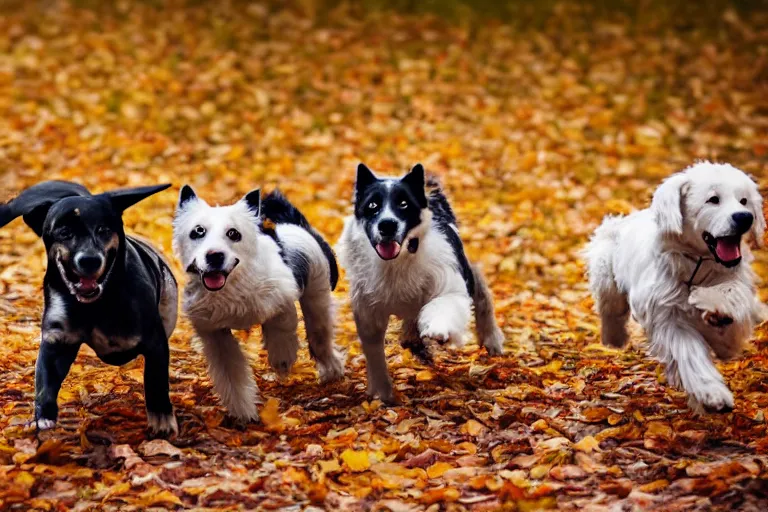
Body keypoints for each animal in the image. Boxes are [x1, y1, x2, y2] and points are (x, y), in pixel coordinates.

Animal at [0, 180, 178, 436]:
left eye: (103, 229)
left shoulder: (154, 342)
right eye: (64, 232)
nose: (90, 260)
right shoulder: (58, 339)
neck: (96, 305)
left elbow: (156, 381)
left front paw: (162, 418)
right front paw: (43, 417)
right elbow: (45, 379)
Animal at [176, 186, 344, 422]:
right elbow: (231, 374)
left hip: (316, 296)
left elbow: (280, 325)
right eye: (197, 231)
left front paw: (282, 357)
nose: (215, 256)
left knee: (319, 337)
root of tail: (294, 225)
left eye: (233, 233)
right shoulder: (215, 334)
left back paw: (332, 371)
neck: (233, 282)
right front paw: (243, 412)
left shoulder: (282, 296)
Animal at [584, 162, 764, 414]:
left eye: (744, 201)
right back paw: (614, 338)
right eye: (713, 199)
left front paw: (715, 308)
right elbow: (691, 353)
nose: (745, 217)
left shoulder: (733, 294)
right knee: (611, 309)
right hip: (606, 274)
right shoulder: (669, 319)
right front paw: (712, 393)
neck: (696, 266)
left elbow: (729, 303)